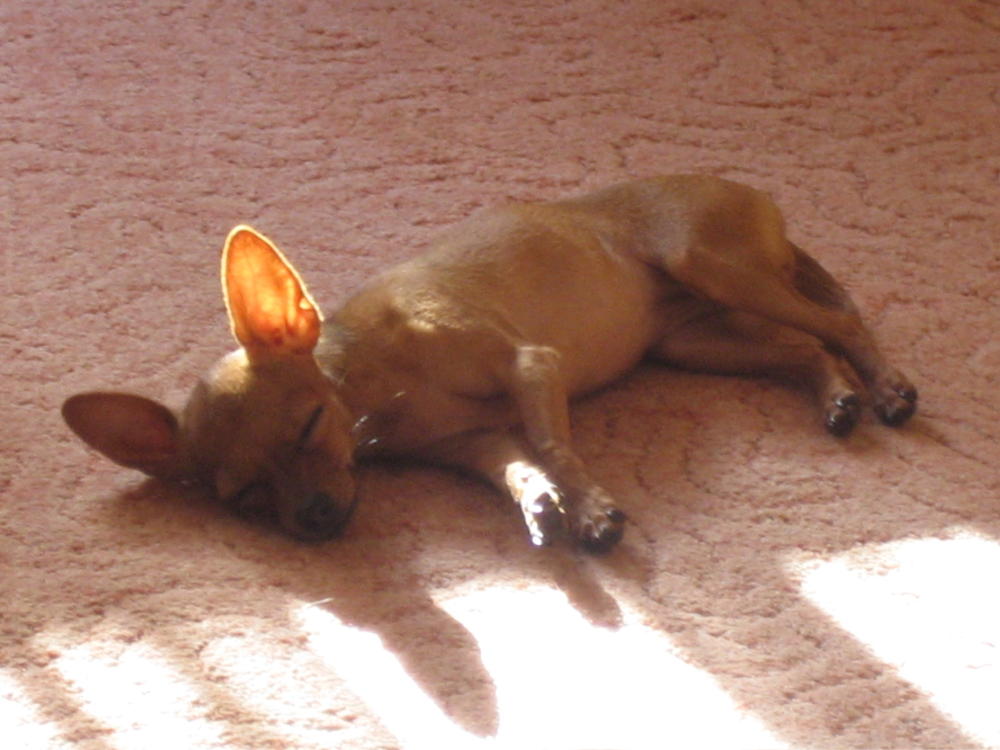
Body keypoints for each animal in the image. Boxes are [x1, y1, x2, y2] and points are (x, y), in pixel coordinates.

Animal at [62, 175, 917, 552]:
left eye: (308, 427)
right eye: (244, 500)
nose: (313, 517)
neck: (374, 381)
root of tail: (756, 197)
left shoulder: (530, 367)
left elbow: (553, 444)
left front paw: (588, 509)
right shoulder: (469, 444)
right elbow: (514, 463)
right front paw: (538, 503)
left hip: (710, 264)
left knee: (840, 319)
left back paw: (885, 387)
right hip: (697, 342)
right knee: (804, 347)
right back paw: (838, 397)